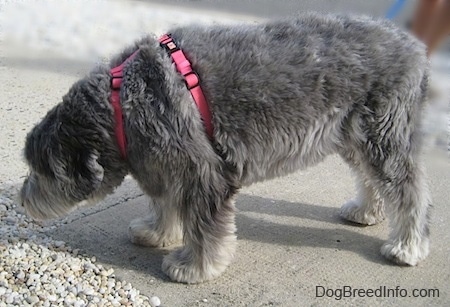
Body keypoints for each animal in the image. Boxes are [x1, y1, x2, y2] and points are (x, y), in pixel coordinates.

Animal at [21, 13, 432, 286]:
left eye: (41, 171)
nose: (23, 200)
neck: (121, 102)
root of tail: (413, 45)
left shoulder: (202, 174)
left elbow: (203, 228)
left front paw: (193, 267)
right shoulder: (166, 167)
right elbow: (164, 204)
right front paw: (157, 232)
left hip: (384, 137)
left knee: (409, 191)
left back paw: (407, 246)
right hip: (356, 139)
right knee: (371, 179)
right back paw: (366, 211)